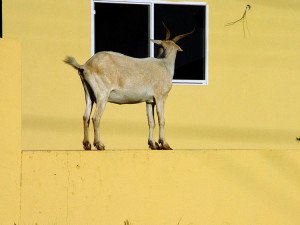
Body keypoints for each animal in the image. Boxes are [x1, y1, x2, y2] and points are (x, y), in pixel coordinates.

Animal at [63, 23, 195, 150]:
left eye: (160, 46)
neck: (164, 65)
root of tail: (85, 65)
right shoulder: (160, 97)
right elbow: (161, 120)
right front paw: (165, 144)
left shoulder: (149, 101)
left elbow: (151, 121)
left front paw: (153, 144)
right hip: (102, 95)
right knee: (96, 117)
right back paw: (99, 145)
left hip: (89, 95)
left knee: (86, 117)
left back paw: (87, 145)